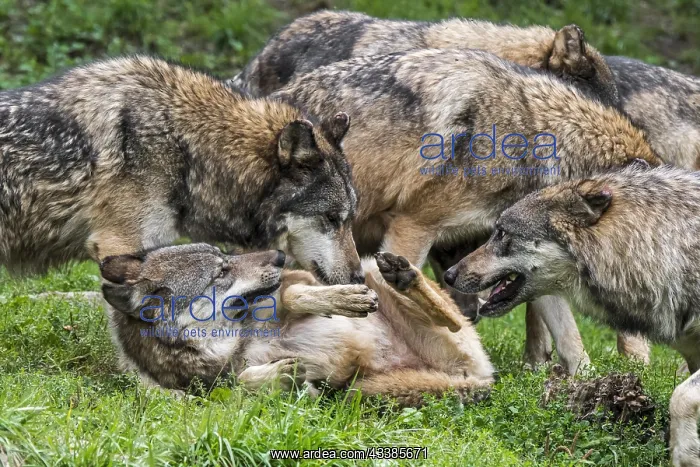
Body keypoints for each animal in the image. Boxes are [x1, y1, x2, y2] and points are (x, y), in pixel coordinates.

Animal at [100, 243, 495, 405]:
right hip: (368, 386)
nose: (279, 255)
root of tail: (479, 377)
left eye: (226, 257)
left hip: (370, 268)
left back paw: (403, 275)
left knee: (451, 318)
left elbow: (291, 295)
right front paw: (283, 376)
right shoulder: (204, 391)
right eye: (221, 271)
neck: (237, 341)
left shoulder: (297, 279)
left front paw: (344, 301)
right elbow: (240, 382)